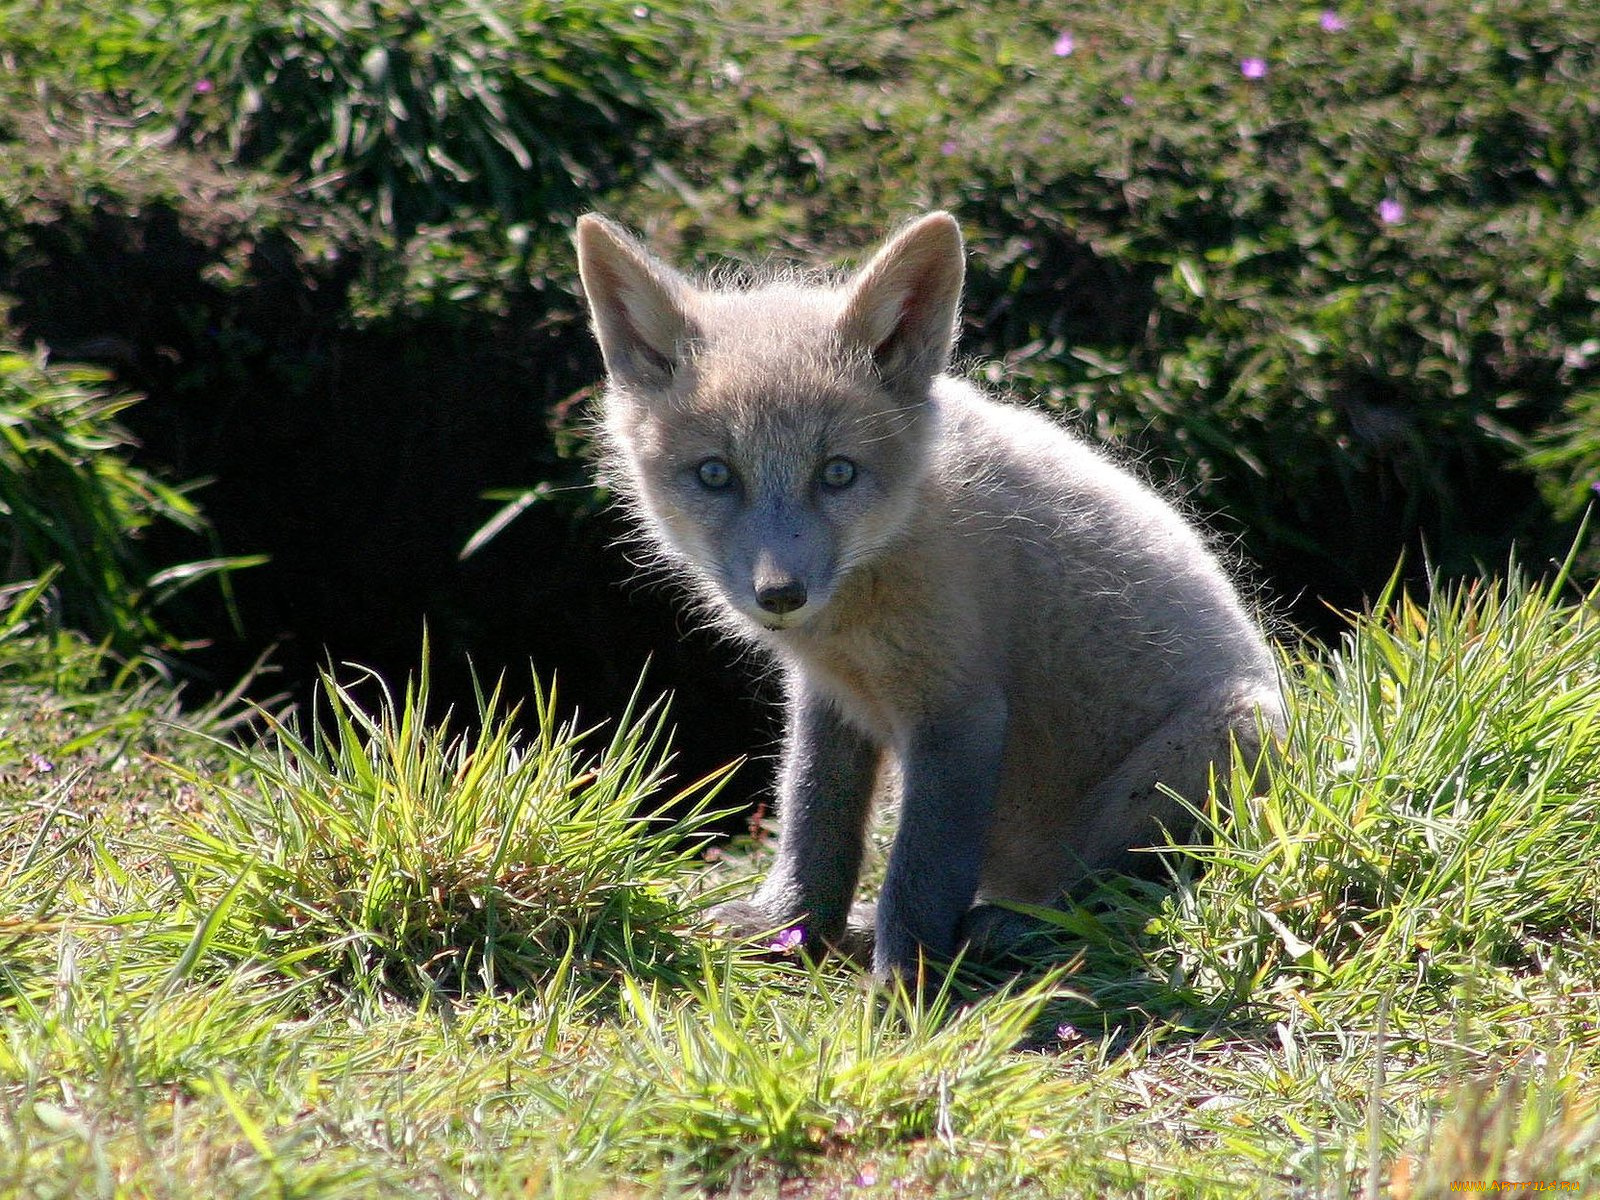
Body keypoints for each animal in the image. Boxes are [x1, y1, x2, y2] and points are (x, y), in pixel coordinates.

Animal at [574, 210, 1285, 984]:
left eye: (838, 473)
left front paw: (905, 981)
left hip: (1226, 737)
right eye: (715, 475)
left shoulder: (959, 710)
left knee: (1126, 886)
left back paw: (1020, 927)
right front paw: (792, 928)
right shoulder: (829, 697)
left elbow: (921, 868)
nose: (780, 594)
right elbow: (813, 818)